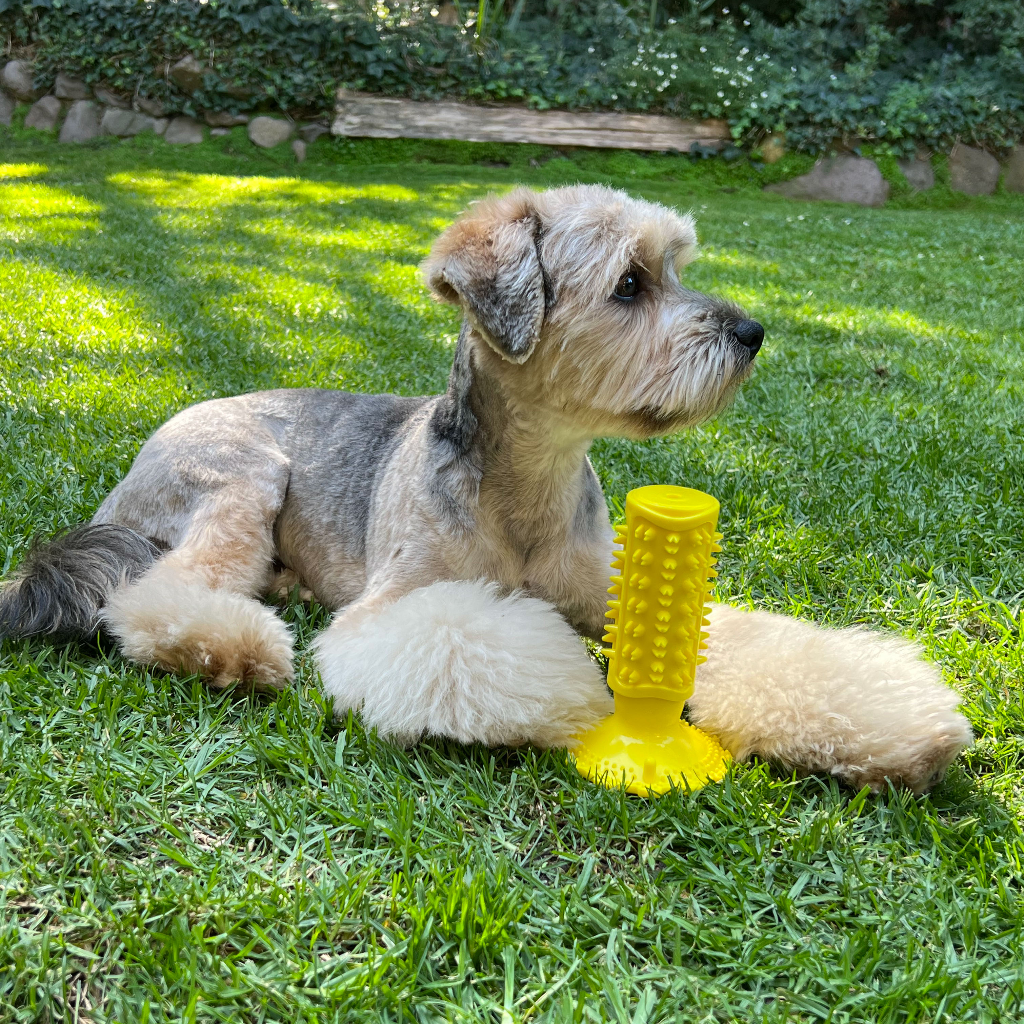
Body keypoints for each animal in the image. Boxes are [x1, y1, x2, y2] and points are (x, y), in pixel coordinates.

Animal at [0, 184, 970, 790]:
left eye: (679, 268)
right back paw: (230, 646)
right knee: (158, 592)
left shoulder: (618, 594)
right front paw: (570, 692)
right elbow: (465, 636)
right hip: (246, 476)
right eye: (631, 284)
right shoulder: (399, 607)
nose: (752, 333)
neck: (528, 491)